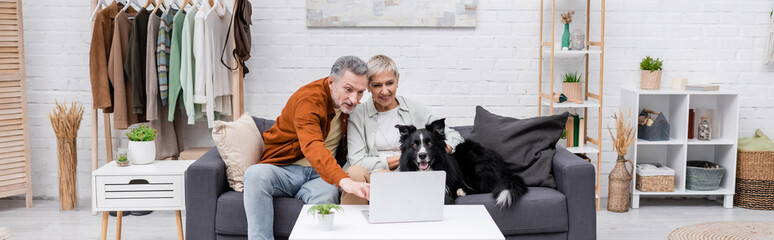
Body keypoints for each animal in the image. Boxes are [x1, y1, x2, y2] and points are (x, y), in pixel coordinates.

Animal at [400, 118, 528, 208]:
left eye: (430, 143)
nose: (422, 155)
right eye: (414, 145)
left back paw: (463, 191)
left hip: (471, 162)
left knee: (487, 187)